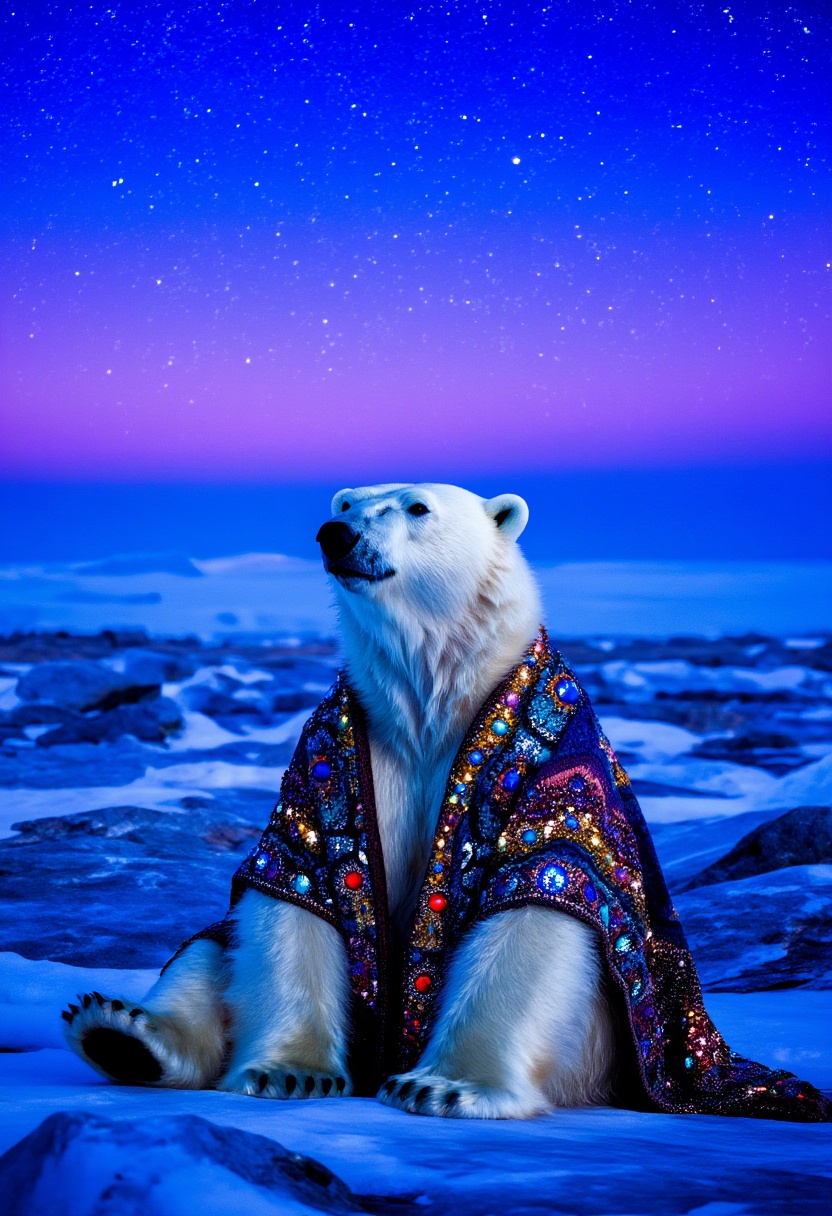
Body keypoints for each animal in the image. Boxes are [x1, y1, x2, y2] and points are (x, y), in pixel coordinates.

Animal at [63, 483, 831, 1122]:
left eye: (416, 507)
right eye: (346, 501)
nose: (335, 535)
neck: (431, 700)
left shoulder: (549, 752)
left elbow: (540, 889)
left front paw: (444, 1087)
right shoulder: (335, 750)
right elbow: (299, 884)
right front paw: (292, 1072)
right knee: (207, 947)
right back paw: (121, 1032)